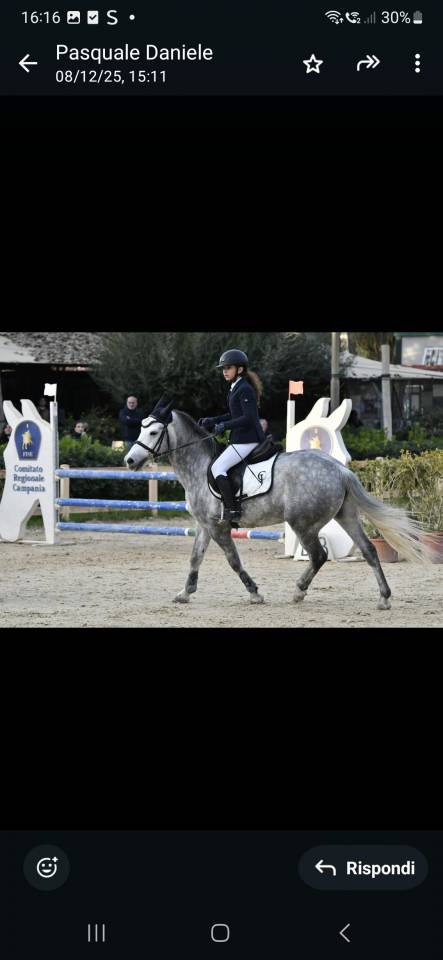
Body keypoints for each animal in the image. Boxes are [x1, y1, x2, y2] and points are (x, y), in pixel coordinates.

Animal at [124, 397, 432, 609]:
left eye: (153, 432)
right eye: (140, 428)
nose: (129, 460)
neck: (199, 467)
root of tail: (339, 469)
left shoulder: (218, 527)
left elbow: (233, 560)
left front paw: (255, 593)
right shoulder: (204, 525)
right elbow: (195, 557)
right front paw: (184, 593)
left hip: (302, 523)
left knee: (318, 555)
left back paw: (298, 591)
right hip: (345, 515)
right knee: (368, 550)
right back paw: (384, 598)